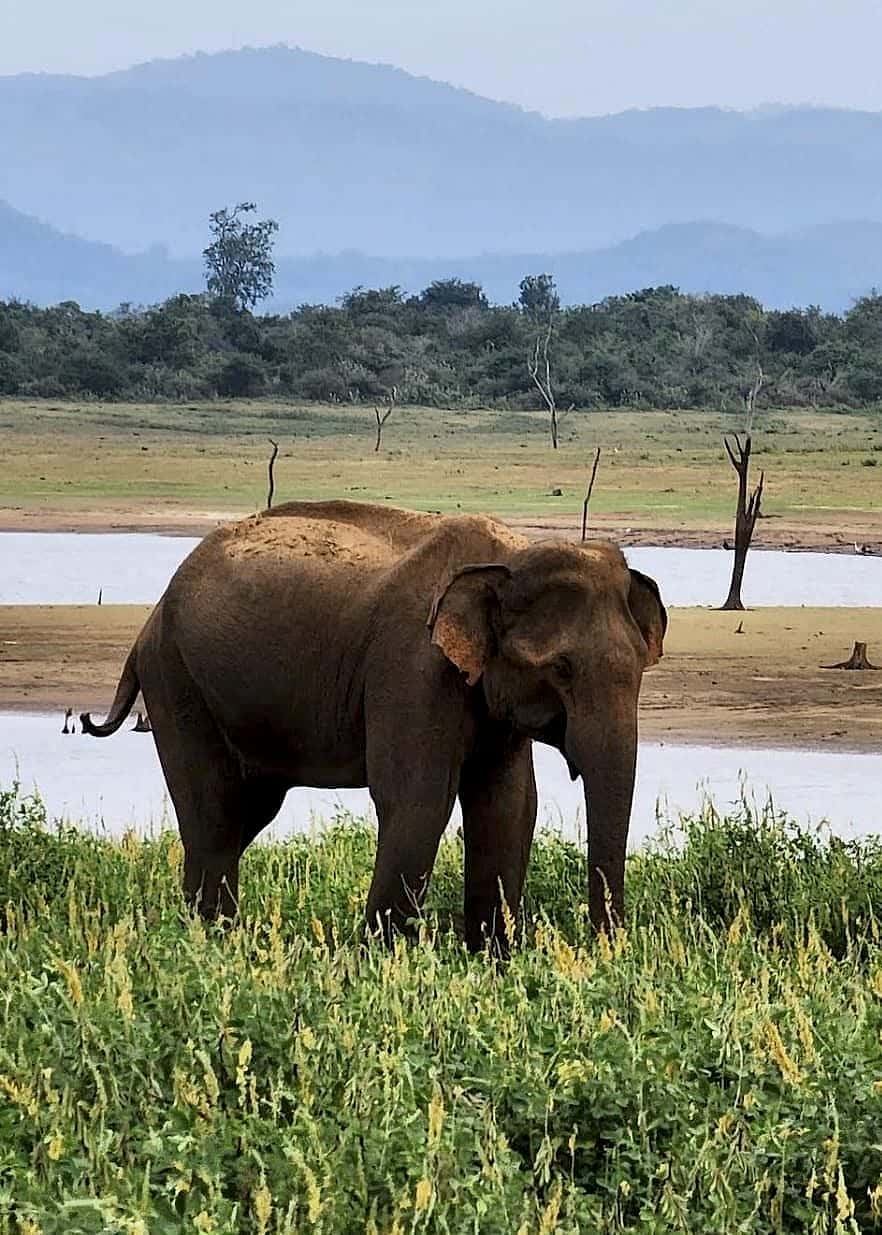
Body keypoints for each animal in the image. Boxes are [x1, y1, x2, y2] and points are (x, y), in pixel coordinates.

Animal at [81, 500, 666, 950]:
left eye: (642, 666)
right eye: (561, 669)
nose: (603, 946)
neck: (510, 556)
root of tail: (150, 618)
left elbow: (509, 807)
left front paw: (493, 962)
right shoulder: (411, 667)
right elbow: (417, 799)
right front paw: (382, 962)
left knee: (244, 816)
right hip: (177, 680)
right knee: (214, 815)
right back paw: (212, 941)